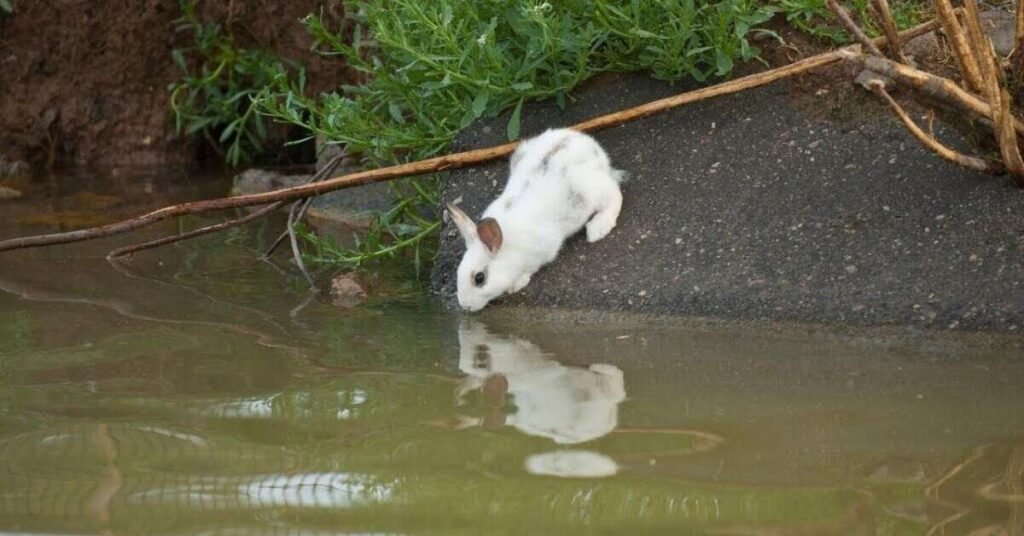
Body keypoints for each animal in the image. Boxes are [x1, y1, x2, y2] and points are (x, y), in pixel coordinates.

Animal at [446, 128, 625, 312]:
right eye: (458, 272)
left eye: (479, 278)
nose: (465, 306)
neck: (508, 244)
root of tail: (594, 149)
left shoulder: (544, 250)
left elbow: (531, 269)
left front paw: (516, 284)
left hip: (592, 191)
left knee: (615, 196)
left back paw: (598, 229)